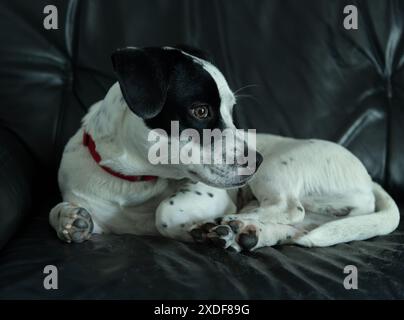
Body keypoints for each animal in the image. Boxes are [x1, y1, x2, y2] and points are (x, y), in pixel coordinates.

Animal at [49, 45, 400, 251]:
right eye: (201, 111)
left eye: (232, 111)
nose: (256, 160)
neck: (134, 183)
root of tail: (369, 180)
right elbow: (58, 210)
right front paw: (71, 219)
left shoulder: (210, 193)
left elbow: (165, 212)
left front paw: (200, 227)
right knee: (295, 225)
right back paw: (253, 232)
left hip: (278, 167)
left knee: (289, 208)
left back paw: (237, 222)